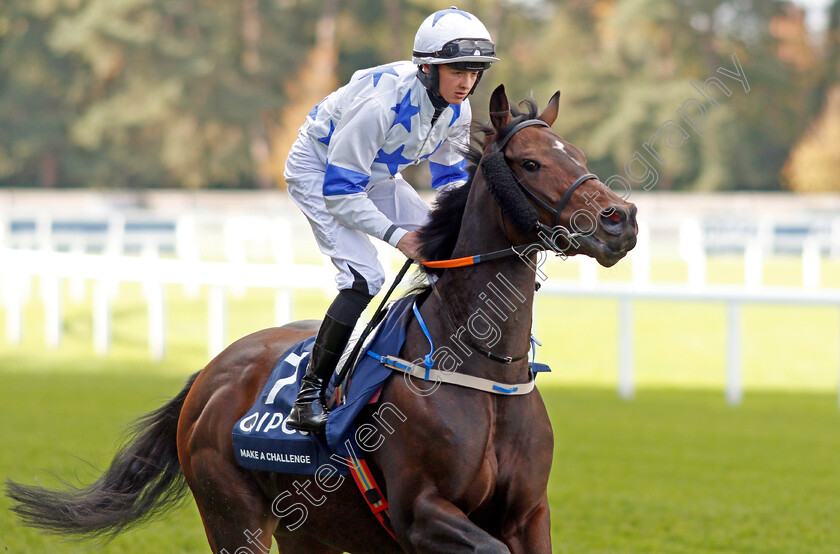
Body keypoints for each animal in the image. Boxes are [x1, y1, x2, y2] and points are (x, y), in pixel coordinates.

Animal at [4, 84, 636, 548]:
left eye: (579, 157)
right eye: (530, 163)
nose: (620, 219)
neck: (481, 368)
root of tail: (209, 374)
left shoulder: (529, 513)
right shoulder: (419, 512)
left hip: (306, 529)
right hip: (233, 517)